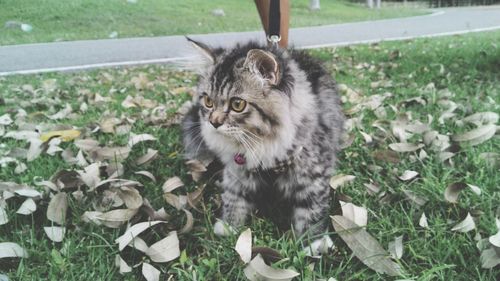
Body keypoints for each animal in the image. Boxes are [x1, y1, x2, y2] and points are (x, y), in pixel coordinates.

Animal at [183, 38, 344, 255]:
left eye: (237, 105)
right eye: (208, 101)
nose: (213, 122)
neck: (263, 144)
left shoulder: (313, 175)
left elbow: (312, 208)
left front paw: (314, 243)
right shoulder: (237, 171)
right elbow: (233, 197)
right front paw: (228, 226)